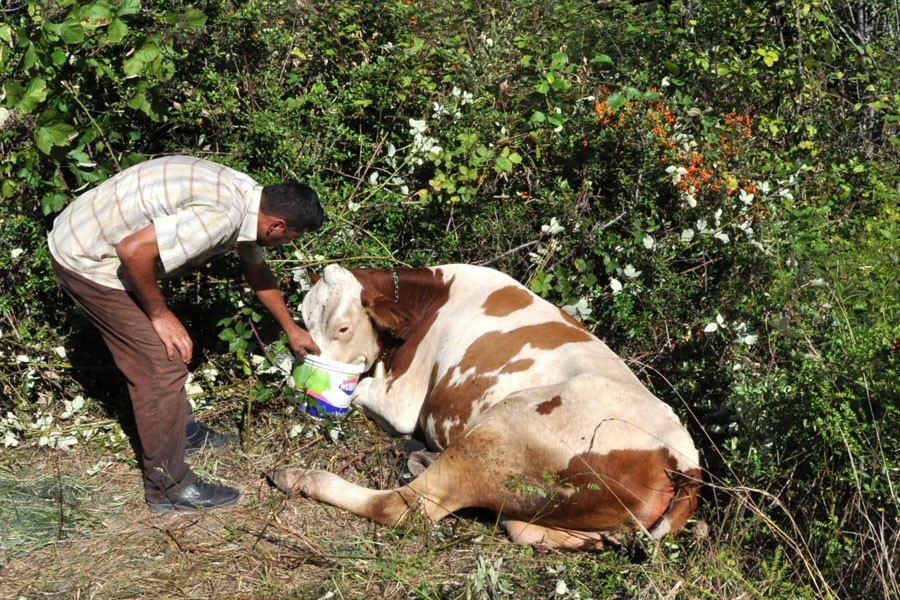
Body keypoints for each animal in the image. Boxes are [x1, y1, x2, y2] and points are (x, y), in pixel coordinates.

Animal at [274, 264, 704, 552]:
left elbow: (362, 389)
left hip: (500, 432)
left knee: (403, 506)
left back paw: (300, 477)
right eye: (304, 319)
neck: (434, 299)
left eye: (343, 328)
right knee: (527, 529)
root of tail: (684, 459)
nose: (299, 381)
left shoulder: (402, 401)